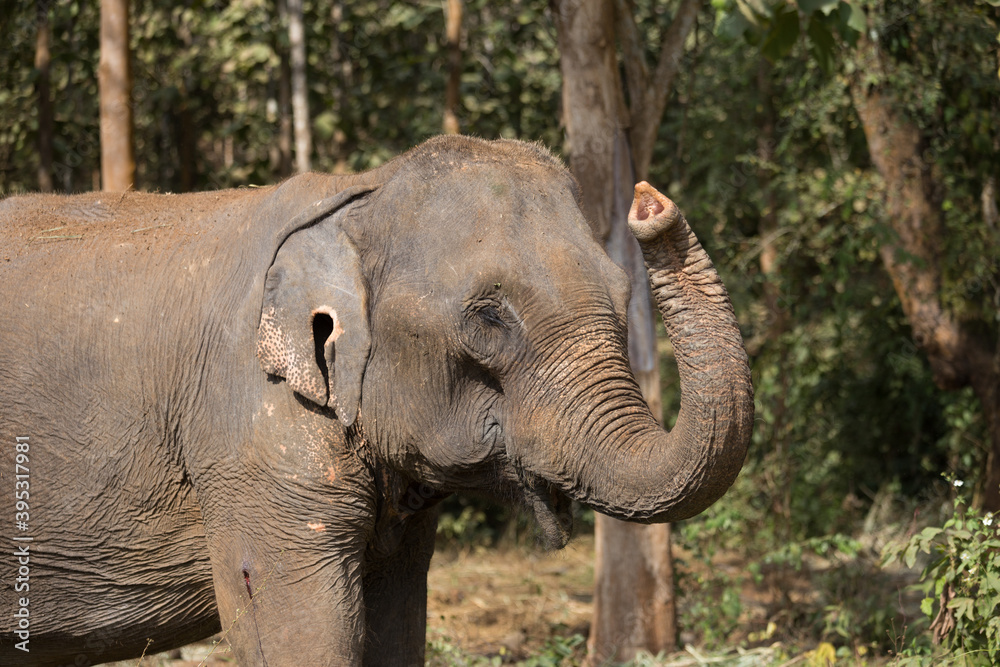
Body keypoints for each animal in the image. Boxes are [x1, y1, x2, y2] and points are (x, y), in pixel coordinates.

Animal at [0, 135, 752, 666]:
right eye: (489, 319)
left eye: (624, 298)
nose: (650, 202)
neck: (356, 197)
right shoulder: (250, 440)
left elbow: (395, 626)